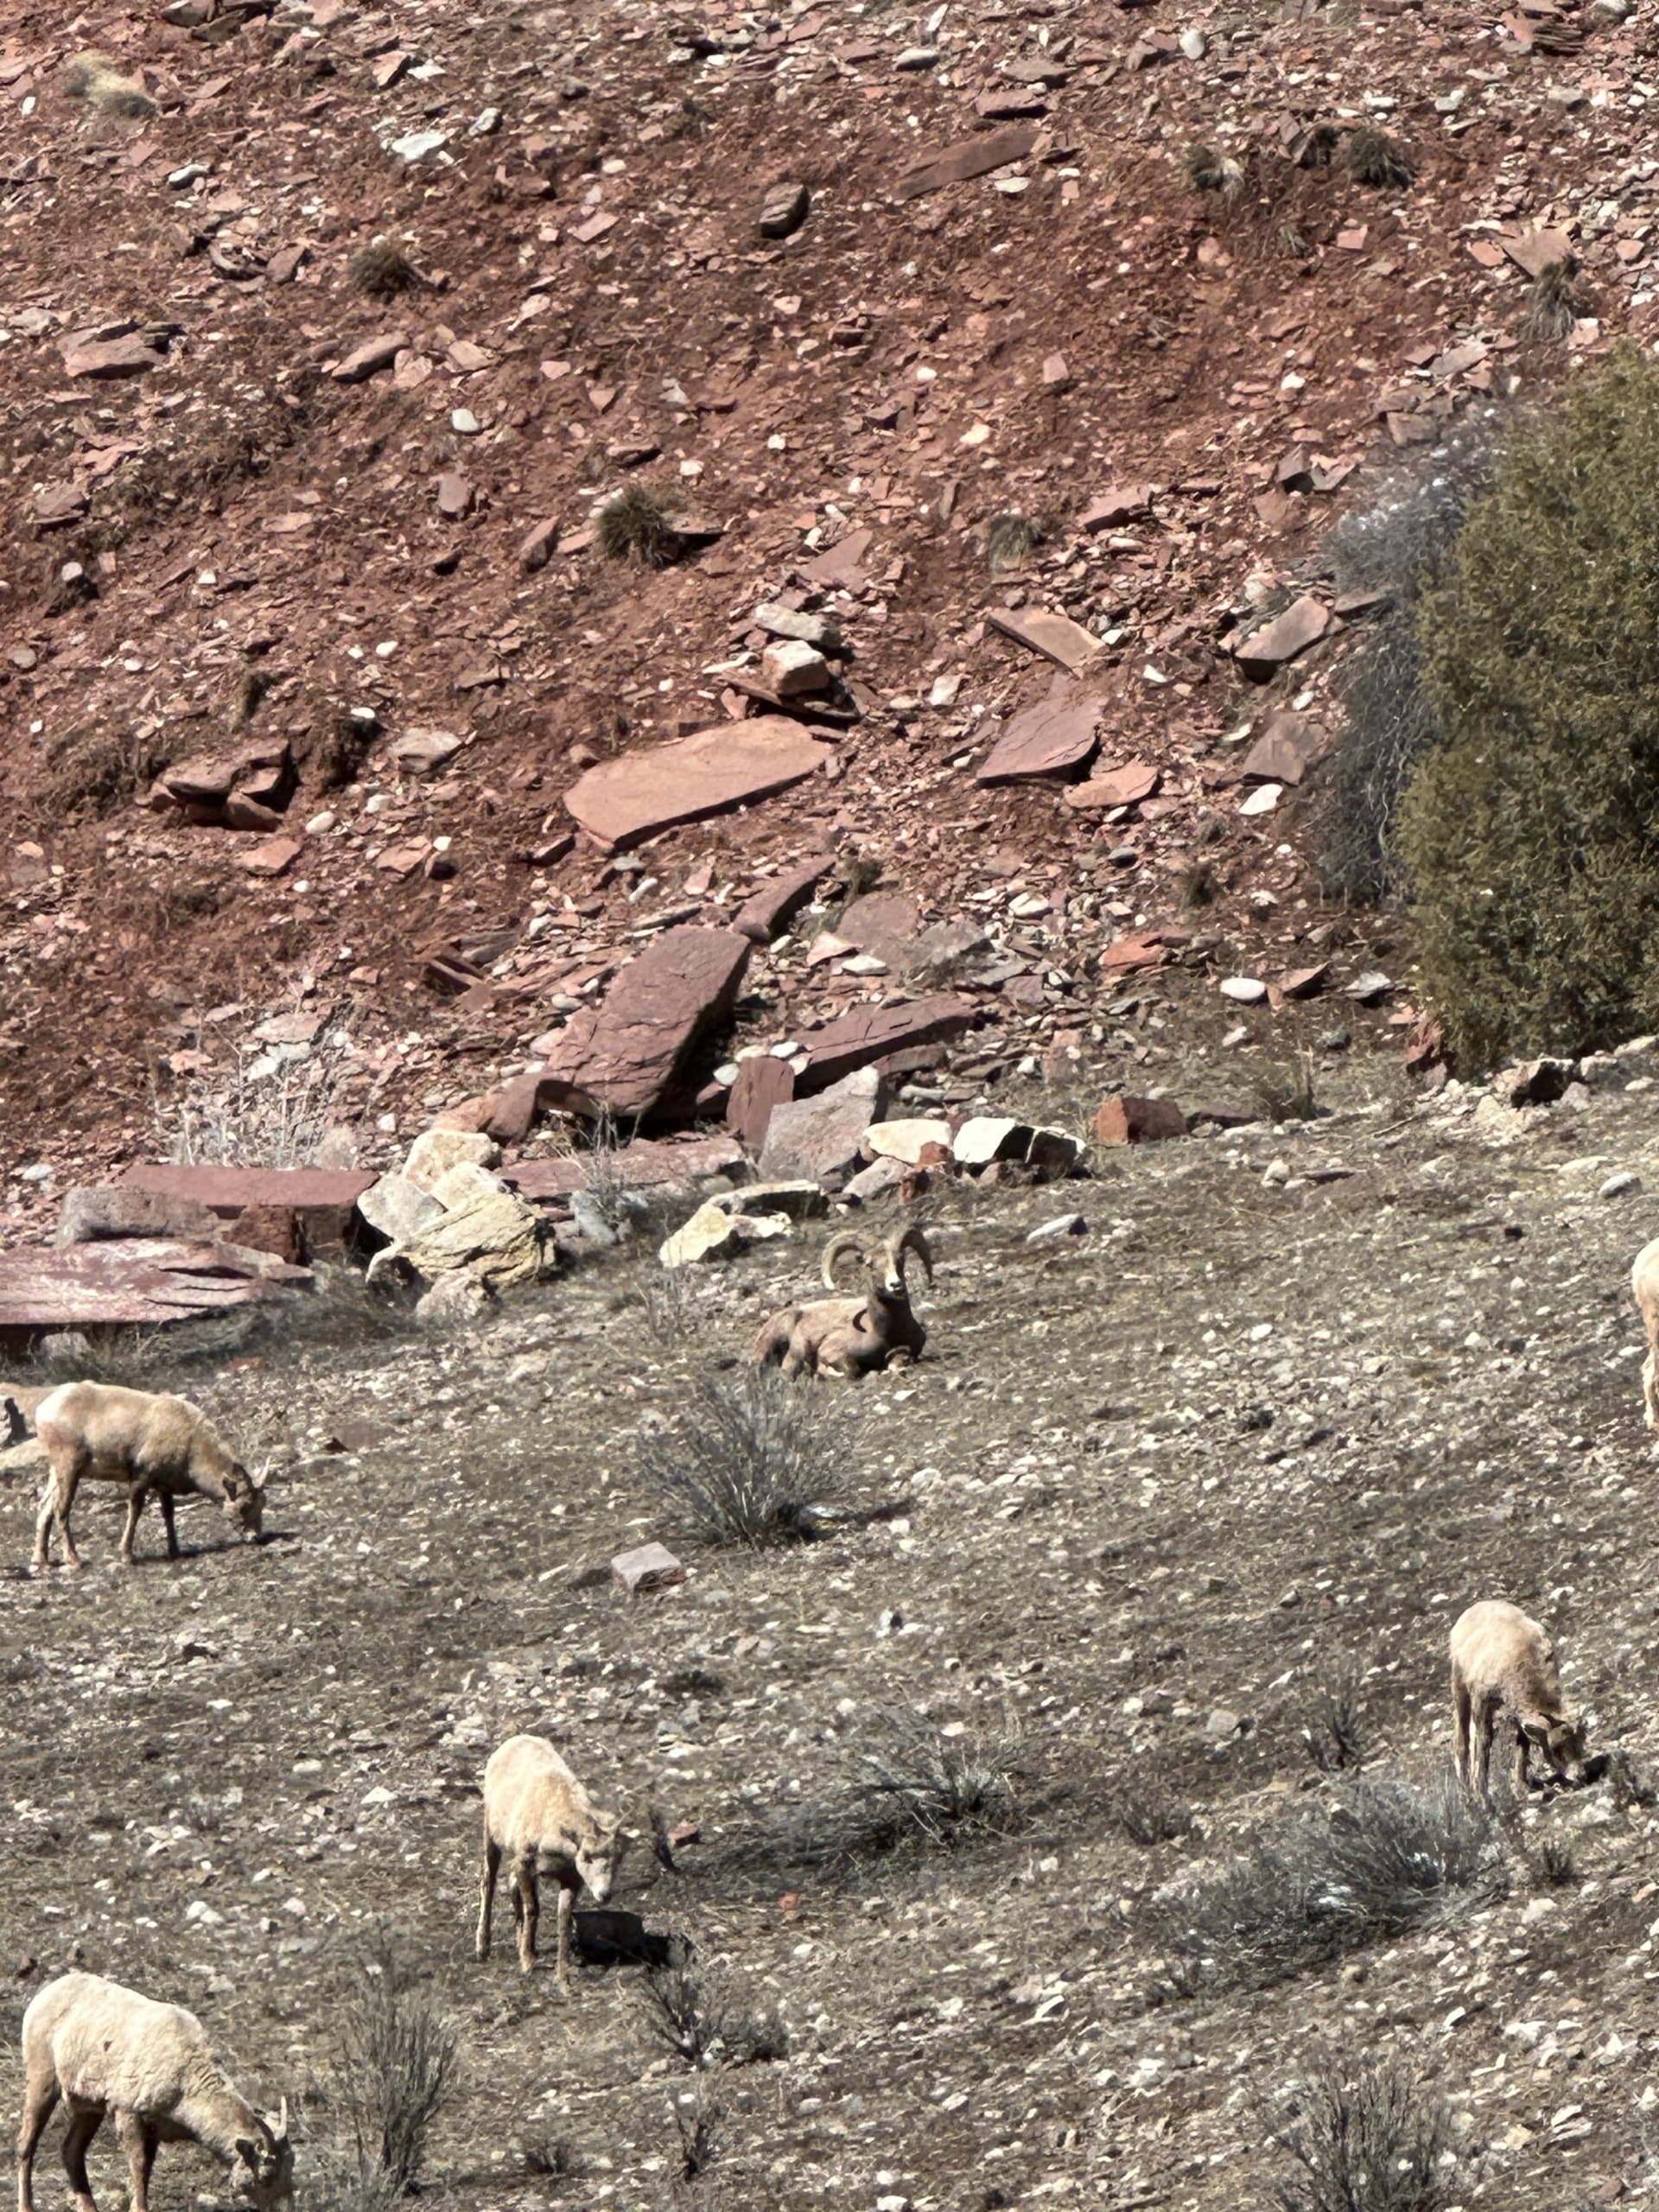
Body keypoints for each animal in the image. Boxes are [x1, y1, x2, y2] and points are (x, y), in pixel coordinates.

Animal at [16, 1973, 291, 2212]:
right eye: (266, 2176)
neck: (185, 2078)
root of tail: (45, 1995)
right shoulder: (128, 2114)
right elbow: (138, 2166)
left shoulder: (154, 2129)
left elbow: (146, 2169)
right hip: (42, 2080)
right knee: (26, 2143)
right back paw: (26, 2206)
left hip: (88, 2108)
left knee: (71, 2150)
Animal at [32, 1380, 267, 1574]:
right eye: (244, 1506)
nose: (256, 1537)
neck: (191, 1444)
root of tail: (43, 1411)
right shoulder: (141, 1478)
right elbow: (135, 1512)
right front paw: (127, 1555)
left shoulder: (163, 1485)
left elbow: (169, 1513)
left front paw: (175, 1551)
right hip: (69, 1467)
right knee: (61, 1509)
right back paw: (74, 1560)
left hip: (57, 1471)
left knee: (45, 1508)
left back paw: (41, 1562)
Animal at [486, 1734, 637, 1981]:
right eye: (586, 1857)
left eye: (618, 1859)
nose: (604, 1894)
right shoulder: (525, 1864)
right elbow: (533, 1909)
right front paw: (527, 1963)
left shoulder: (569, 1879)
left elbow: (563, 1919)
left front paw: (562, 1973)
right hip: (490, 1835)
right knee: (488, 1880)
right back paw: (483, 1949)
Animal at [752, 1230, 938, 1380]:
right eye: (870, 1264)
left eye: (900, 1260)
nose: (896, 1285)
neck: (884, 1332)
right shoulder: (832, 1351)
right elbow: (852, 1369)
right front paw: (825, 1371)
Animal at [1451, 1601, 1592, 1804]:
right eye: (1556, 1748)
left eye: (1581, 1740)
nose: (1580, 1776)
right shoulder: (1482, 1700)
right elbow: (1484, 1741)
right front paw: (1483, 1798)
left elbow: (1522, 1744)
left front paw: (1521, 1789)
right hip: (1460, 1686)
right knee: (1463, 1738)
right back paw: (1465, 1792)